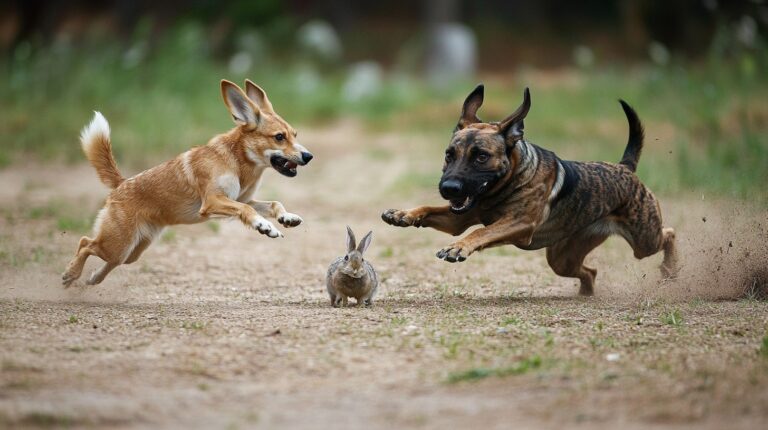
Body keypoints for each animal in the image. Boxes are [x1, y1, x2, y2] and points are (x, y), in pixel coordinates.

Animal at [61, 79, 310, 288]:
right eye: (279, 137)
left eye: (295, 134)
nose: (309, 156)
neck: (237, 161)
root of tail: (121, 184)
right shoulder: (213, 201)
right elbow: (248, 211)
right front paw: (264, 226)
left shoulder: (241, 198)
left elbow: (273, 204)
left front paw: (286, 218)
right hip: (118, 243)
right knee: (85, 243)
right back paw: (71, 274)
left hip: (131, 251)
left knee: (108, 260)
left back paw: (92, 278)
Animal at [380, 84, 676, 296]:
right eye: (449, 155)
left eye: (481, 157)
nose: (448, 188)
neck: (507, 182)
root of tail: (625, 168)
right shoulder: (459, 217)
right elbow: (431, 209)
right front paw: (403, 214)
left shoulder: (519, 223)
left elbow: (481, 231)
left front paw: (458, 247)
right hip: (563, 257)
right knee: (589, 271)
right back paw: (585, 293)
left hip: (643, 239)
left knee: (669, 234)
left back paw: (670, 271)